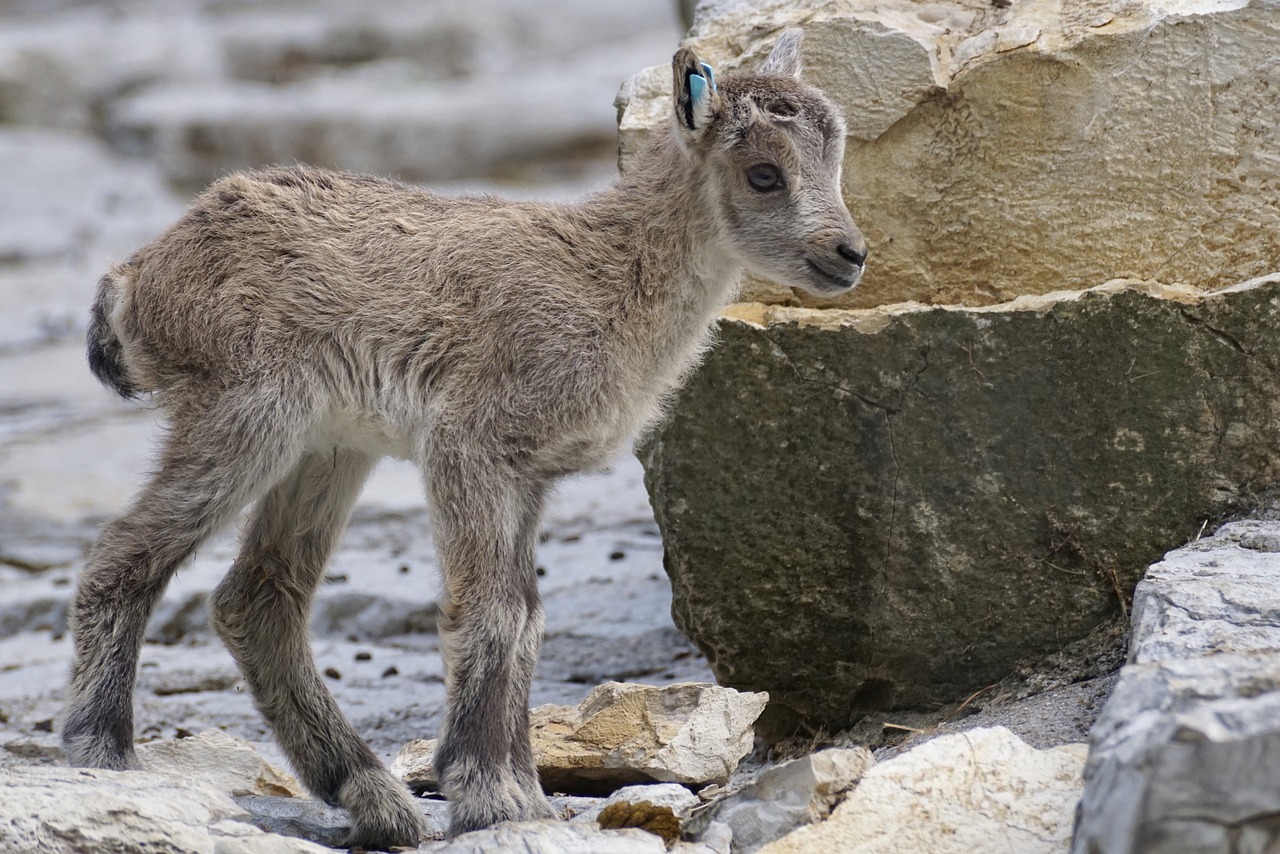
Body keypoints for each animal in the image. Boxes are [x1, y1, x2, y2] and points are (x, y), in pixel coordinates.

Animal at [67, 30, 870, 845]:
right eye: (764, 173)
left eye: (837, 160)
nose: (850, 254)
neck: (610, 279)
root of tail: (135, 277)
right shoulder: (467, 443)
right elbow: (489, 613)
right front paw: (489, 798)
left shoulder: (531, 474)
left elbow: (528, 619)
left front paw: (525, 796)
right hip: (245, 415)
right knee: (124, 556)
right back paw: (103, 751)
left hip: (329, 448)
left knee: (258, 597)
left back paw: (374, 798)